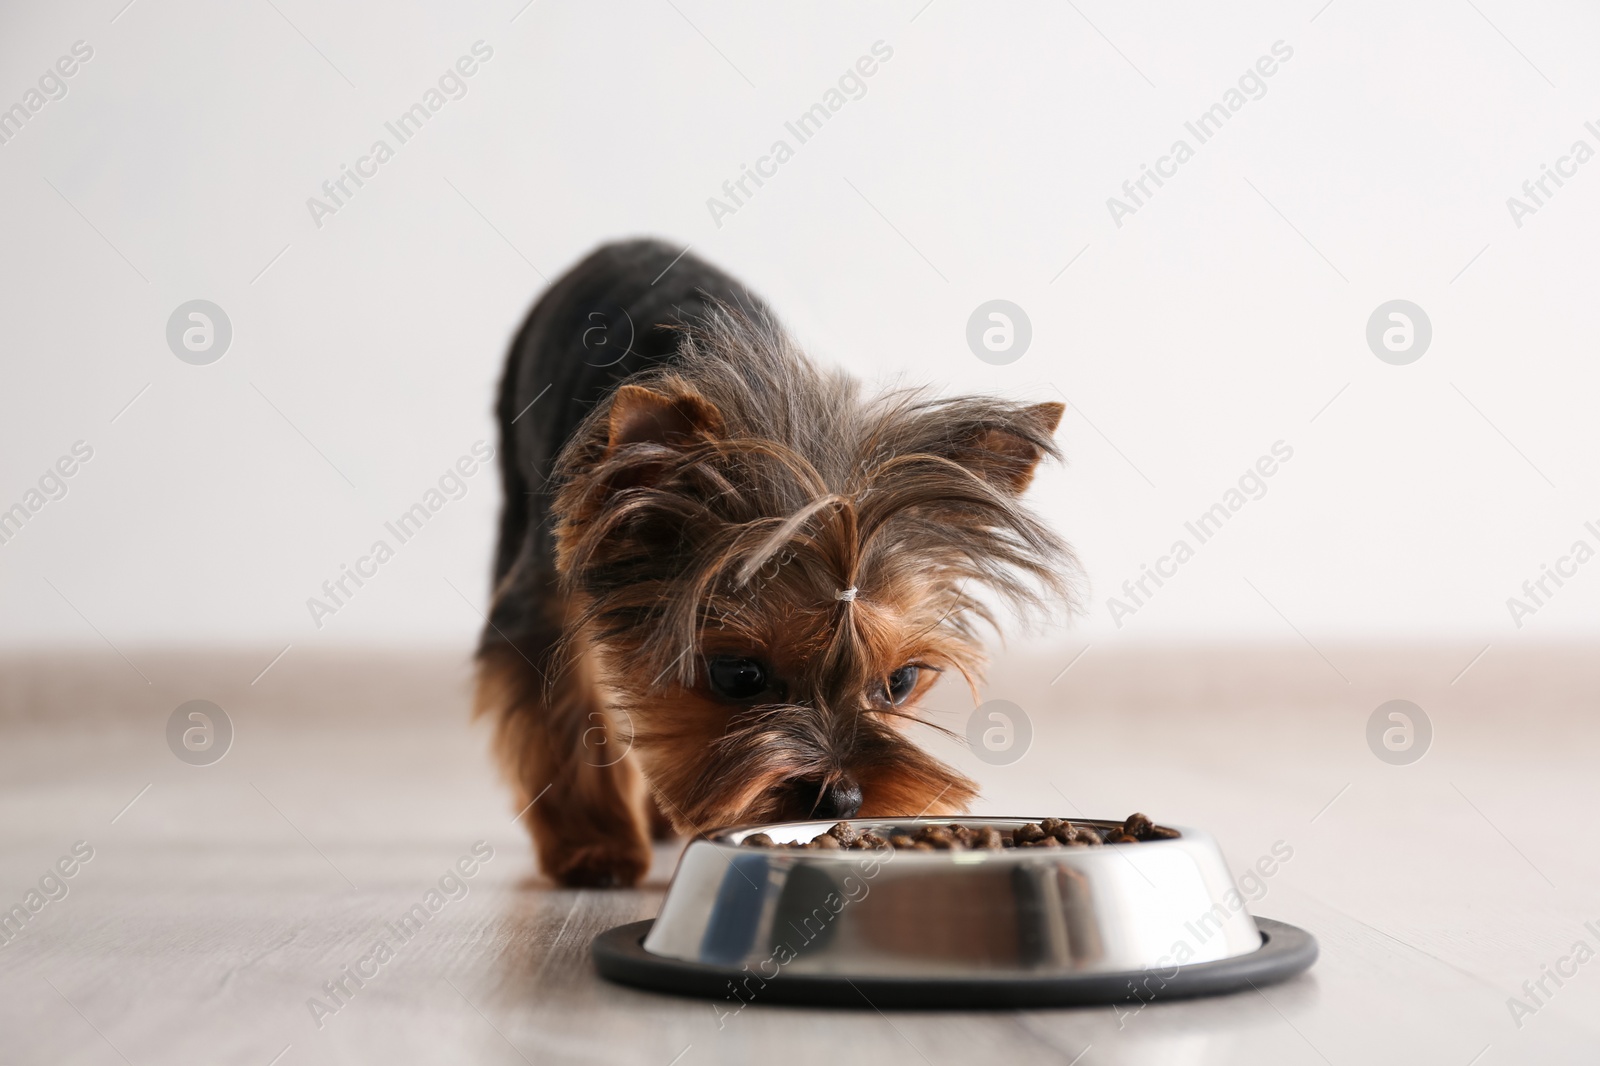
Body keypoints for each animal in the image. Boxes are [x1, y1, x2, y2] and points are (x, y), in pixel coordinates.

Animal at [473, 238, 1075, 877]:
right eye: (738, 675)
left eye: (901, 682)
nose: (842, 798)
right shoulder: (550, 601)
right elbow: (567, 717)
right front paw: (595, 849)